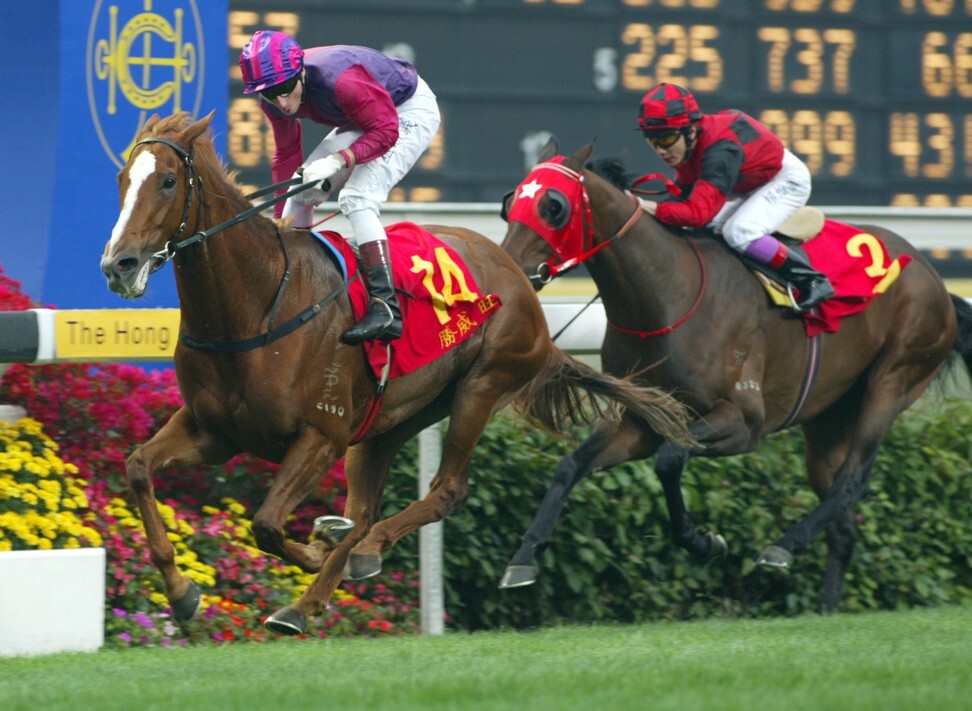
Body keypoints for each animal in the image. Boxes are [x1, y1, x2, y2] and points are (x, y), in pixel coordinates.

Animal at [97, 114, 700, 636]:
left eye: (168, 181)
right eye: (123, 180)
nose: (118, 265)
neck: (256, 306)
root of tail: (518, 277)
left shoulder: (321, 435)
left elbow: (266, 522)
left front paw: (314, 546)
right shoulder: (214, 432)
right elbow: (139, 467)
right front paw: (182, 594)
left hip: (482, 384)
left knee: (443, 492)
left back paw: (355, 552)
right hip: (392, 420)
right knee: (364, 511)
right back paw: (308, 598)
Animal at [498, 139, 972, 612]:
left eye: (553, 206)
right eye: (510, 203)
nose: (512, 268)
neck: (666, 294)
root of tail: (933, 276)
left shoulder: (744, 422)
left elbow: (670, 459)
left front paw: (704, 541)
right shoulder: (640, 420)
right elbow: (570, 466)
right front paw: (523, 558)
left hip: (894, 378)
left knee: (852, 480)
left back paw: (783, 545)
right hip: (829, 419)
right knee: (843, 523)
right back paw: (825, 608)